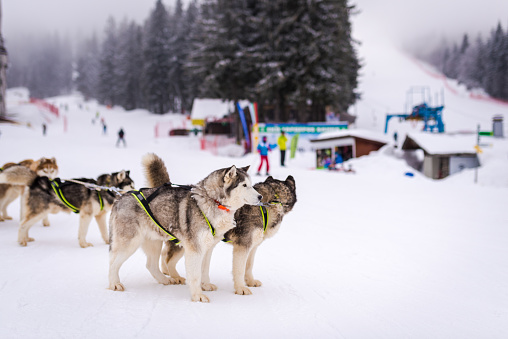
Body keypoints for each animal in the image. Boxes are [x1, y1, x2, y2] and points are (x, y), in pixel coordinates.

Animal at [0, 167, 134, 247]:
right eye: (131, 185)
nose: (135, 190)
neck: (104, 188)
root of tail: (37, 180)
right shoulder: (86, 215)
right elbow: (83, 231)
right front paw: (84, 244)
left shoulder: (99, 216)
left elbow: (104, 232)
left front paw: (108, 242)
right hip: (39, 212)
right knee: (22, 224)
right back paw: (21, 241)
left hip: (40, 213)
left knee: (26, 225)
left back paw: (26, 238)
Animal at [109, 154, 264, 302]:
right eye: (244, 185)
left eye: (251, 185)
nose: (260, 197)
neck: (214, 201)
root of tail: (120, 198)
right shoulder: (195, 249)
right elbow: (195, 275)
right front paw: (197, 296)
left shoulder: (208, 248)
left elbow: (204, 270)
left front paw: (205, 285)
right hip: (130, 243)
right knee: (113, 262)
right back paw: (114, 283)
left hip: (154, 242)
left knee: (151, 265)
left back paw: (165, 280)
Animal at [163, 177, 296, 296]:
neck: (266, 206)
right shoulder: (242, 246)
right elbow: (240, 269)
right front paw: (240, 288)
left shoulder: (253, 246)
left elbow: (249, 265)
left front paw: (250, 281)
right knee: (169, 259)